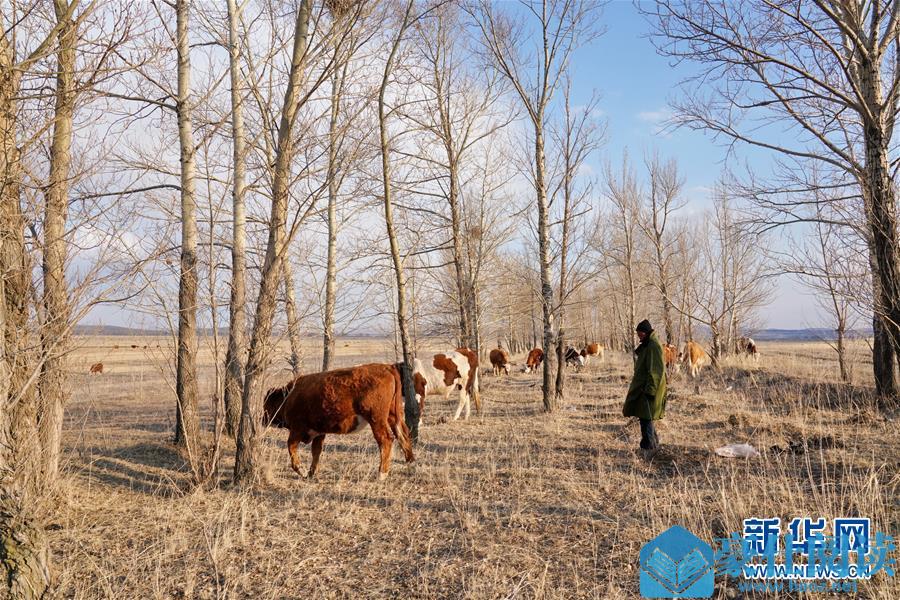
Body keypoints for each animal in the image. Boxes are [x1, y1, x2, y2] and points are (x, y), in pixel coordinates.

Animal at [260, 360, 414, 482]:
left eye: (266, 405)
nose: (262, 419)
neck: (289, 397)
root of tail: (387, 367)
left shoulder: (297, 430)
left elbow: (291, 447)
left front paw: (301, 470)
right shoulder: (319, 432)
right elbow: (316, 452)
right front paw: (311, 473)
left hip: (376, 419)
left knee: (386, 440)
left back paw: (381, 474)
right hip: (393, 416)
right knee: (403, 434)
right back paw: (410, 463)